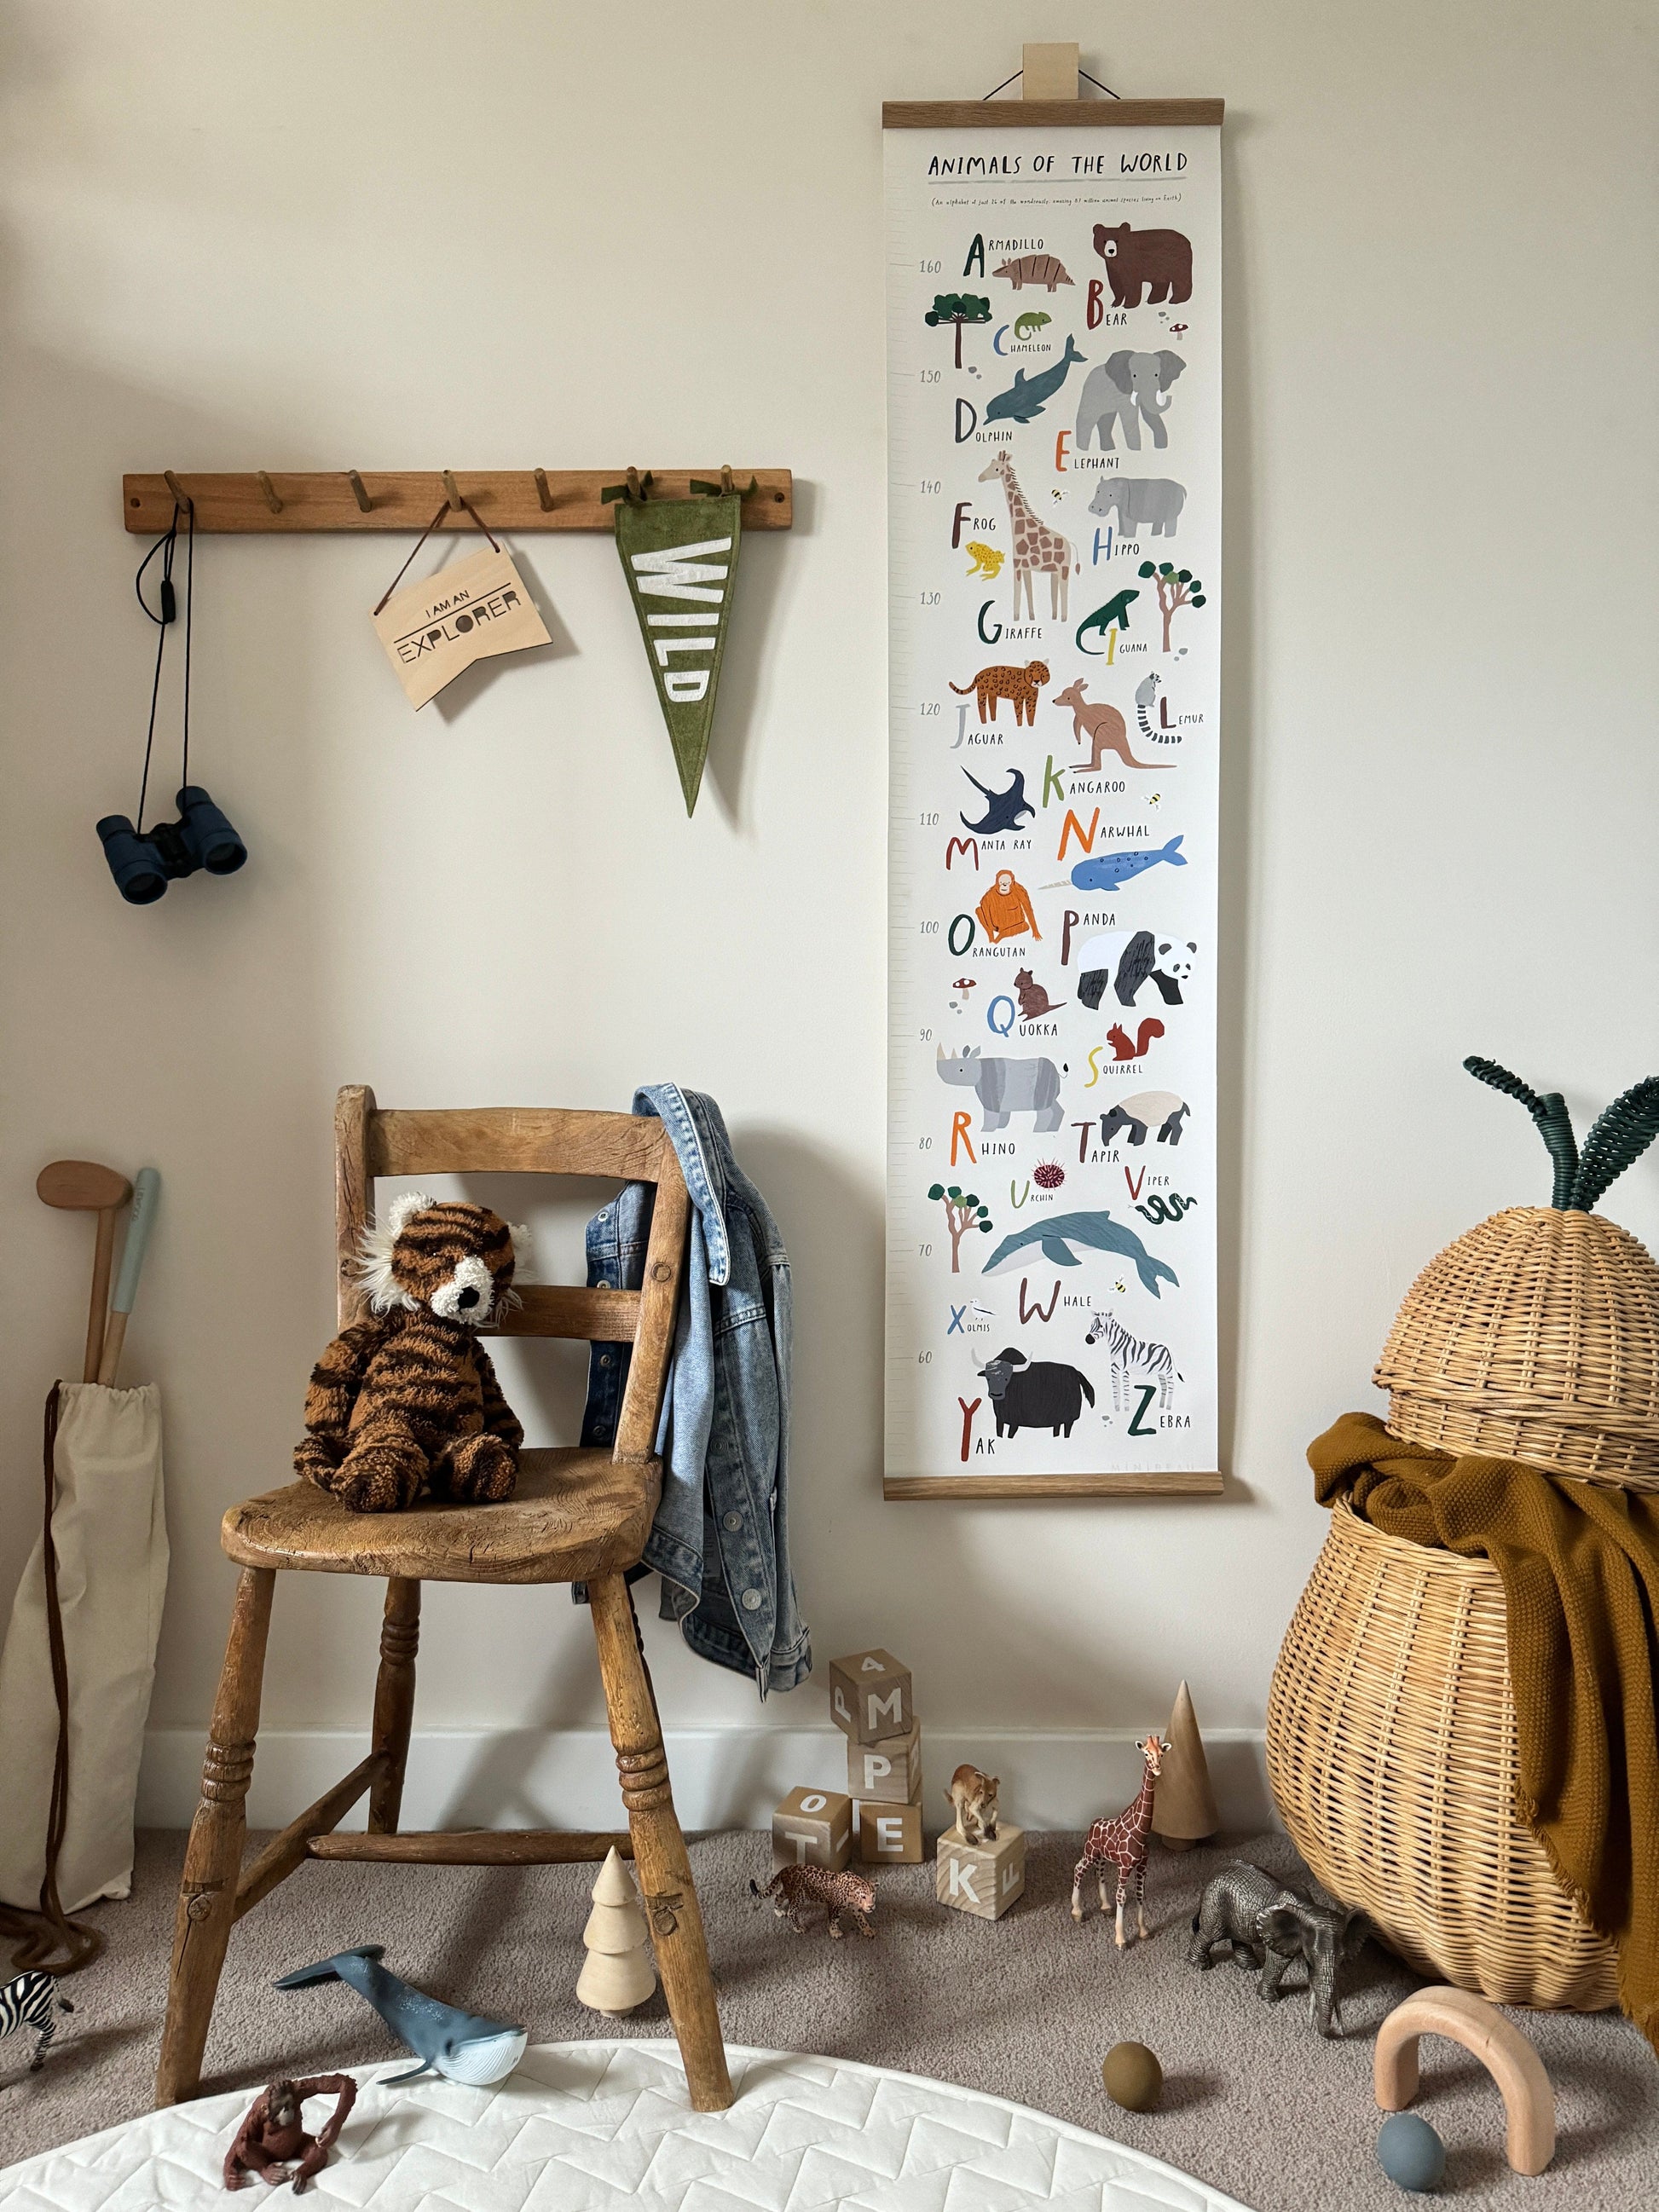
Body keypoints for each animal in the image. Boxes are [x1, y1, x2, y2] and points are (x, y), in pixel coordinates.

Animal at [296, 1203, 529, 1512]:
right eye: (435, 1252)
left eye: (489, 1267)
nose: (469, 1295)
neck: (442, 1323)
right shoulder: (391, 1322)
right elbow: (342, 1356)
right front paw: (323, 1419)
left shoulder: (478, 1356)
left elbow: (494, 1395)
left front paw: (510, 1432)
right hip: (387, 1422)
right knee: (388, 1446)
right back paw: (368, 1480)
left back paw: (484, 1466)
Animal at [938, 1043, 1066, 1132]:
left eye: (961, 1070)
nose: (941, 1073)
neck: (977, 1066)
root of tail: (1057, 1071)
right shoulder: (1002, 1101)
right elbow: (1003, 1116)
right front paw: (1000, 1128)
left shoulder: (990, 1095)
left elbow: (991, 1115)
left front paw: (985, 1131)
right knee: (1055, 1105)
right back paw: (1052, 1129)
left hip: (1043, 1085)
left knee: (1044, 1110)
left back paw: (1038, 1131)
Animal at [982, 447, 1084, 623]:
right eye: (990, 463)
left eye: (996, 469)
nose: (980, 477)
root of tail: (1069, 544)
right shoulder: (1026, 567)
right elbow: (1028, 591)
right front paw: (1031, 617)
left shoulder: (1017, 565)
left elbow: (1017, 592)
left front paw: (1016, 618)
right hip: (1055, 571)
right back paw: (1054, 617)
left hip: (1064, 568)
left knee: (1064, 590)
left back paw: (1063, 619)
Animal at [1070, 351, 1185, 451]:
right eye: (1134, 376)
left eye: (1156, 375)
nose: (1169, 397)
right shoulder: (1123, 391)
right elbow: (1130, 418)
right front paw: (1136, 450)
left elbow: (1150, 415)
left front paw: (1160, 448)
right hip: (1091, 394)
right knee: (1087, 419)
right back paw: (1082, 450)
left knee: (1106, 421)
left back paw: (1109, 450)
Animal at [1070, 1734, 1176, 1946]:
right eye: (1146, 1753)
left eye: (1161, 1753)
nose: (1157, 1768)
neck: (1141, 1830)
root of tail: (1093, 1822)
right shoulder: (1125, 1866)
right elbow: (1122, 1896)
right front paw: (1120, 1939)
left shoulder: (1142, 1864)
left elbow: (1140, 1894)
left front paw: (1143, 1931)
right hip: (1090, 1851)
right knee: (1078, 1869)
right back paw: (1077, 1912)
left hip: (1102, 1856)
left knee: (1099, 1872)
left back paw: (1105, 1906)